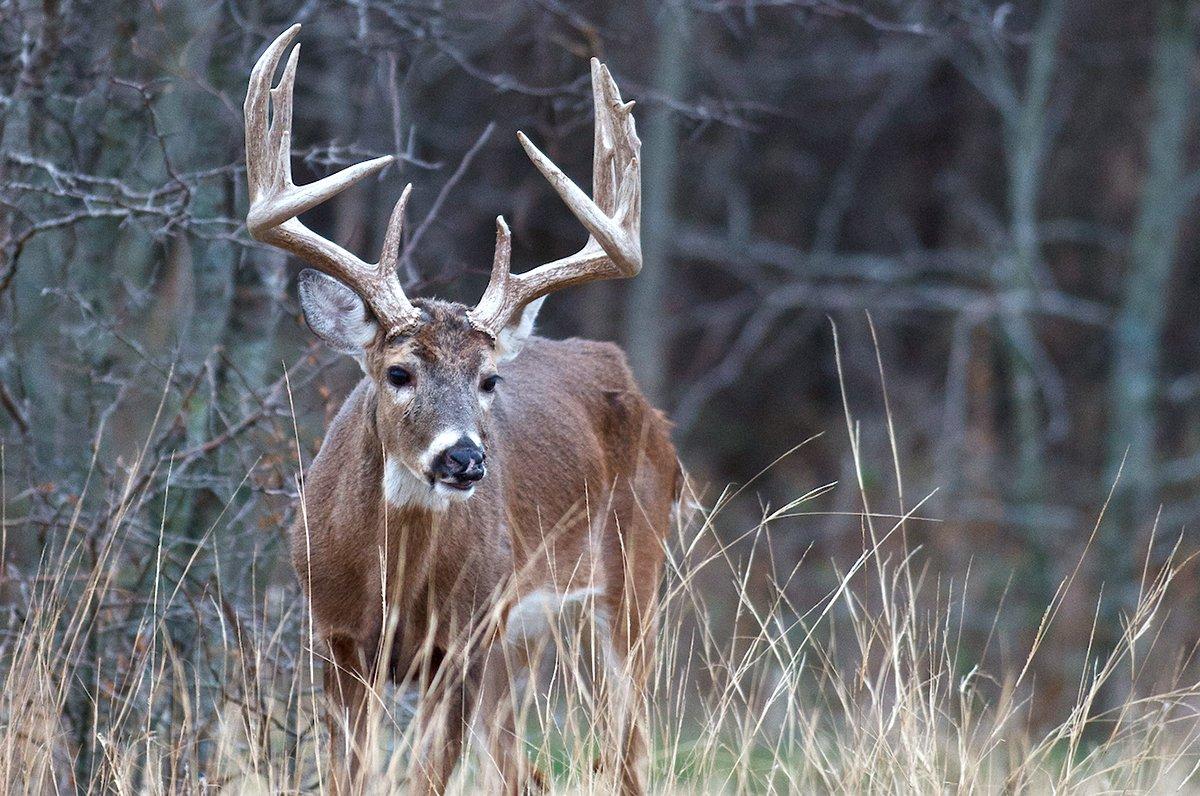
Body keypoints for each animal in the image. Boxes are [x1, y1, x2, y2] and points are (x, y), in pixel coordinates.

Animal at [241, 24, 686, 796]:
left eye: (488, 379)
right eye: (398, 371)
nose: (464, 458)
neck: (391, 584)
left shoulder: (461, 642)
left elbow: (425, 777)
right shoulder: (334, 638)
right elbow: (350, 774)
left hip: (631, 579)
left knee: (628, 751)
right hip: (521, 642)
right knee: (524, 771)